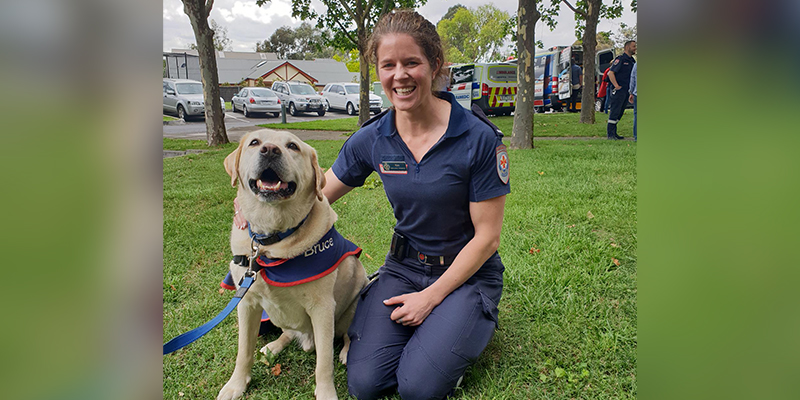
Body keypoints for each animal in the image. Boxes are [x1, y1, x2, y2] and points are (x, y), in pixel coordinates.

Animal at [219, 130, 368, 398]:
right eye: (254, 142)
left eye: (292, 146)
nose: (269, 150)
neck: (272, 243)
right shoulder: (246, 304)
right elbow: (243, 351)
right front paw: (236, 385)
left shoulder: (322, 308)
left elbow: (324, 362)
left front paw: (326, 392)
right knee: (288, 332)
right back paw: (274, 345)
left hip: (351, 306)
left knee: (347, 336)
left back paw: (346, 351)